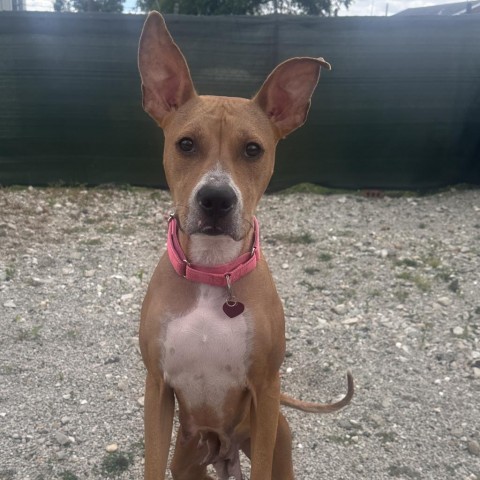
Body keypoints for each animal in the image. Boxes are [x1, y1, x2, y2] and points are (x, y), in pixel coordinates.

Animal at [137, 12, 350, 480]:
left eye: (254, 149)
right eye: (185, 144)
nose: (216, 199)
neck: (213, 271)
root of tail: (224, 448)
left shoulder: (266, 390)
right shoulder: (157, 388)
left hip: (278, 436)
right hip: (188, 457)